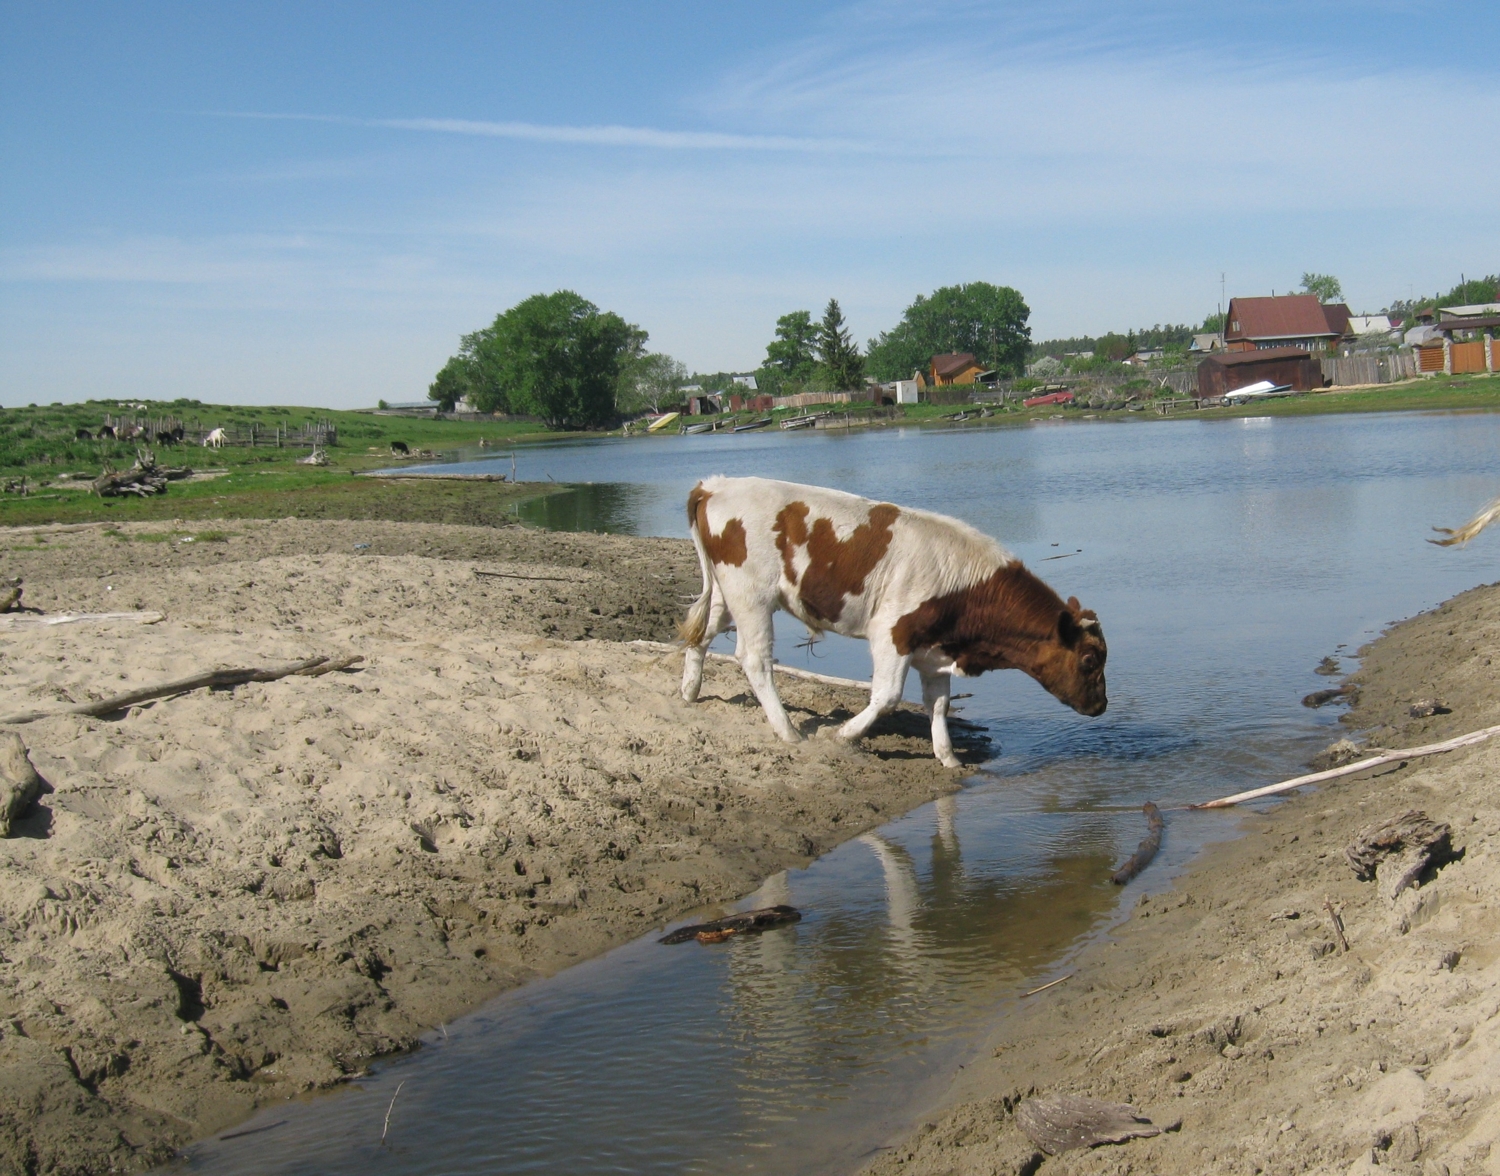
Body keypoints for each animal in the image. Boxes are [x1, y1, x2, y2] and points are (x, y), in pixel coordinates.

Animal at [681, 477, 1104, 774]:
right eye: (1088, 660)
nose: (1101, 706)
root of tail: (718, 484)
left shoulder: (935, 649)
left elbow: (939, 704)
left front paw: (948, 757)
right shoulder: (892, 633)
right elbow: (886, 696)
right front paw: (842, 735)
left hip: (726, 594)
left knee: (700, 634)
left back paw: (689, 693)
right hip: (752, 595)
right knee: (754, 659)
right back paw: (788, 731)